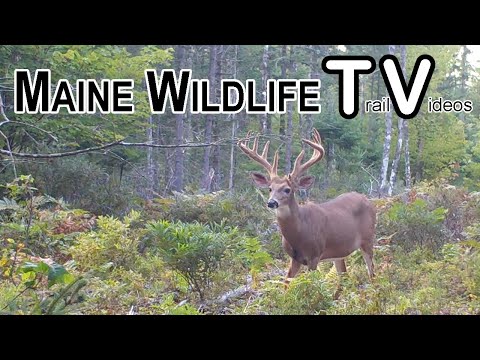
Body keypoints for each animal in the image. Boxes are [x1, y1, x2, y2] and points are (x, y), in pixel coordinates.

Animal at [238, 129, 376, 284]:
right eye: (269, 188)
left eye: (287, 189)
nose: (271, 202)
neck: (300, 233)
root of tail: (367, 199)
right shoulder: (294, 258)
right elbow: (286, 284)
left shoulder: (314, 255)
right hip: (339, 252)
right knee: (344, 277)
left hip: (368, 239)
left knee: (372, 272)